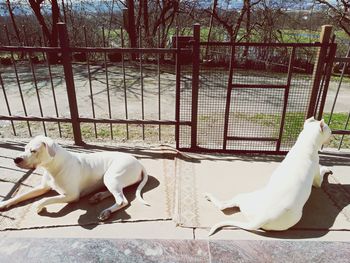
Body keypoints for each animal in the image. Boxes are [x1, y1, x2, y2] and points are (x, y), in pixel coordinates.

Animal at [0, 136, 149, 221]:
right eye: (24, 148)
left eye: (33, 151)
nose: (16, 159)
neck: (54, 166)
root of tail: (139, 162)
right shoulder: (42, 187)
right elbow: (20, 196)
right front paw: (4, 203)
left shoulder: (71, 196)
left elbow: (45, 199)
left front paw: (39, 206)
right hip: (110, 180)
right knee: (116, 192)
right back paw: (98, 196)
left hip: (111, 176)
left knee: (122, 200)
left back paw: (106, 212)